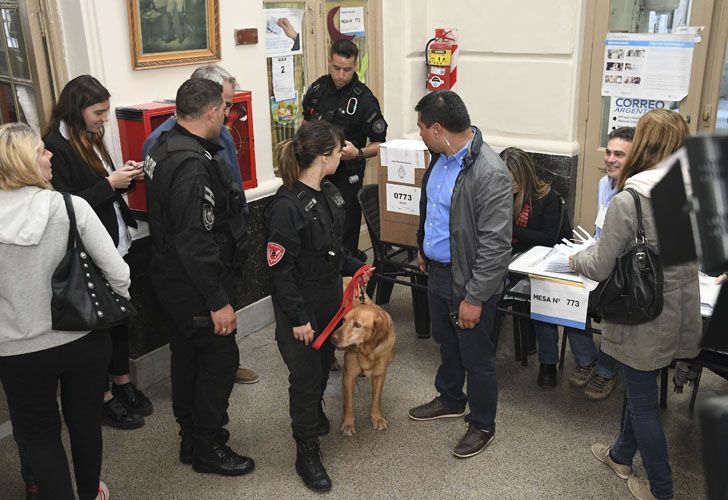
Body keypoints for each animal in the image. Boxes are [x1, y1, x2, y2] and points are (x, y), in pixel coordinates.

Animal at [332, 280, 396, 436]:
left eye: (357, 325)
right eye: (344, 320)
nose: (333, 338)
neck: (368, 352)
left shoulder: (380, 374)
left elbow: (376, 398)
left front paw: (377, 418)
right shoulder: (348, 376)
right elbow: (348, 404)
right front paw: (348, 424)